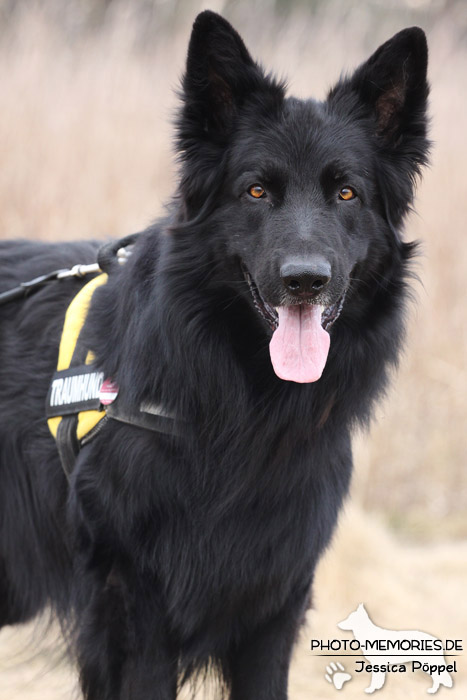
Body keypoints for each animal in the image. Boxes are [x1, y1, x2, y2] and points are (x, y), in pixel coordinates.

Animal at [0, 10, 430, 700]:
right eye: (255, 191)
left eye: (346, 194)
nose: (304, 280)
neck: (242, 404)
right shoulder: (135, 610)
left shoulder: (274, 604)